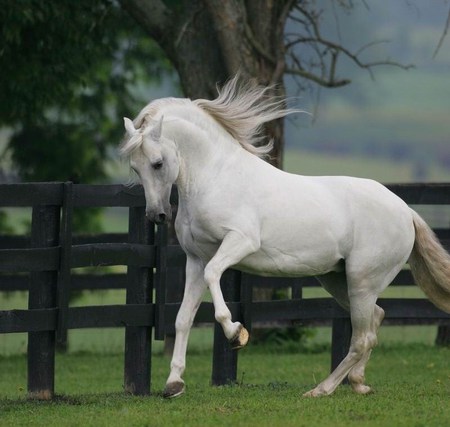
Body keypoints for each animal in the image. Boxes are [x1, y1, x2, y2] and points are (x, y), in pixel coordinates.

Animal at [120, 76, 450, 398]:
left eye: (158, 163)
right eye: (135, 167)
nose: (157, 215)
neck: (216, 178)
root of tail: (406, 211)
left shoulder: (239, 243)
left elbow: (215, 277)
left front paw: (236, 334)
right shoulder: (195, 260)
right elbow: (182, 318)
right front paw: (173, 384)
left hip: (362, 282)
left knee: (362, 338)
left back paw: (321, 390)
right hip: (337, 280)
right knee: (375, 321)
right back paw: (357, 383)